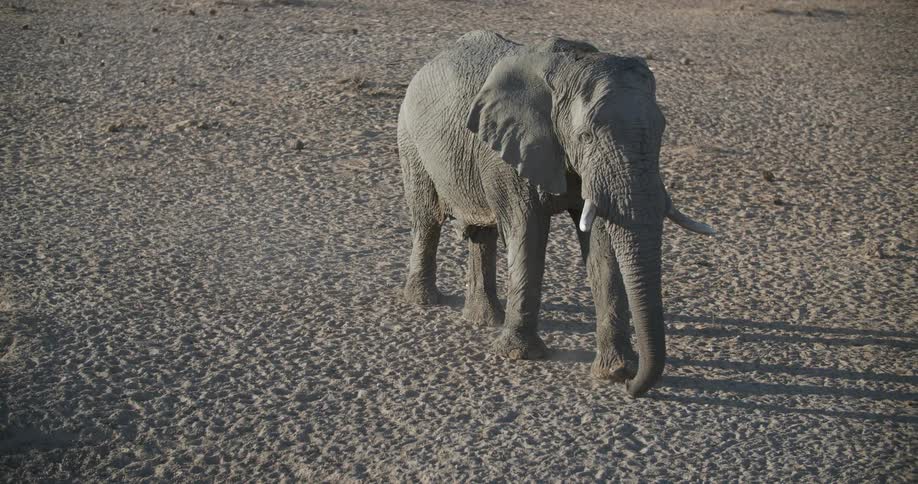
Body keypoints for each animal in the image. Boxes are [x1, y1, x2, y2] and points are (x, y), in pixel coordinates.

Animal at [397, 31, 714, 397]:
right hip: (410, 136)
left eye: (662, 131)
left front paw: (614, 371)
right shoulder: (508, 152)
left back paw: (485, 319)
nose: (631, 387)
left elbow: (602, 247)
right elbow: (527, 231)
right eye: (586, 136)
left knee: (481, 232)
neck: (567, 72)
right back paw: (424, 301)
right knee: (427, 218)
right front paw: (519, 355)